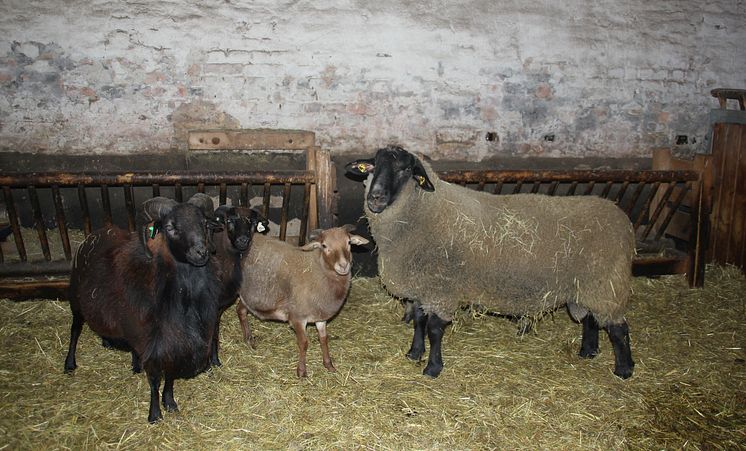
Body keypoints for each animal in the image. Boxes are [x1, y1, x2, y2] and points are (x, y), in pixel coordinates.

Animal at [344, 147, 632, 380]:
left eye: (405, 170)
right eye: (373, 166)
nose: (375, 197)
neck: (426, 210)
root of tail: (621, 217)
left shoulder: (441, 289)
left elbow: (434, 329)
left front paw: (433, 368)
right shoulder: (421, 287)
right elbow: (417, 321)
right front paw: (414, 353)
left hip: (606, 284)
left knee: (618, 328)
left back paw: (624, 369)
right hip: (589, 286)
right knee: (592, 320)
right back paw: (588, 352)